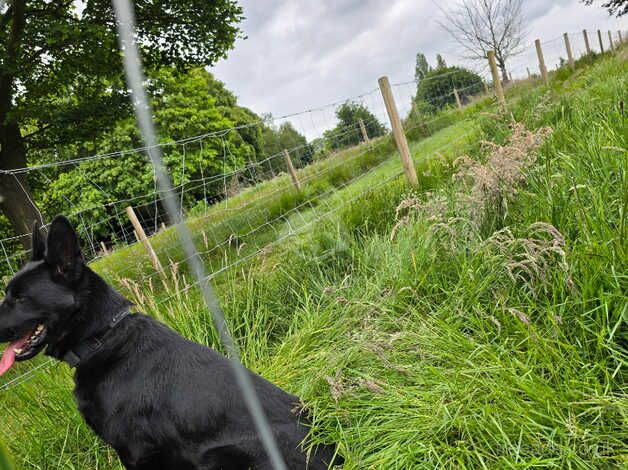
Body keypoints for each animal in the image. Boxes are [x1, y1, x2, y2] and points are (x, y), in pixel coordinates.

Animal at [0, 218, 344, 470]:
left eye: (20, 298)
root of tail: (337, 451)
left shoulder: (137, 453)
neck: (102, 337)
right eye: (8, 294)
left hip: (220, 455)